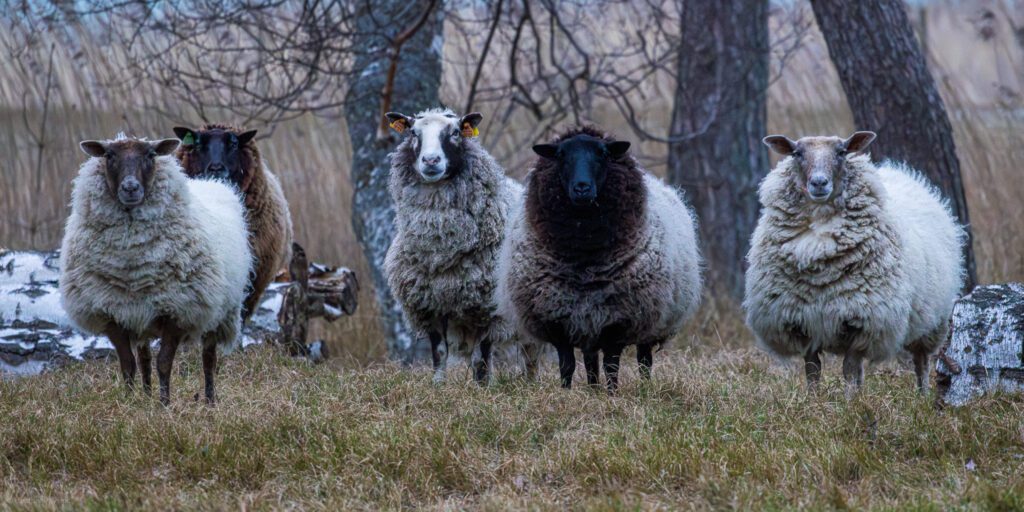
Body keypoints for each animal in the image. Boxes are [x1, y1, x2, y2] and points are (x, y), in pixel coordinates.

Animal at [59, 134, 252, 405]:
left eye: (150, 155)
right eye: (109, 155)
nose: (130, 188)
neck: (132, 265)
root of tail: (213, 184)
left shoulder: (177, 311)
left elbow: (164, 364)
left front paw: (164, 404)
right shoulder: (112, 314)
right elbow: (128, 365)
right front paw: (129, 402)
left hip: (220, 313)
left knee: (208, 359)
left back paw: (210, 400)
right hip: (140, 315)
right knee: (144, 359)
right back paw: (146, 394)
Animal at [383, 107, 538, 384]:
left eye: (455, 133)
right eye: (413, 133)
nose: (431, 161)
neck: (441, 253)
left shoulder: (490, 309)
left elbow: (480, 359)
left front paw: (482, 387)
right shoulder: (430, 305)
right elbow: (439, 353)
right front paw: (438, 386)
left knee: (532, 354)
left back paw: (533, 384)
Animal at [497, 126, 703, 392]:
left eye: (603, 154)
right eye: (561, 155)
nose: (582, 188)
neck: (585, 259)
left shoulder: (619, 318)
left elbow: (612, 365)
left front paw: (612, 394)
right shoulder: (557, 318)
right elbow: (568, 364)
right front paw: (566, 392)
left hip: (648, 318)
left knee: (644, 359)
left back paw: (643, 387)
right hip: (587, 321)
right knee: (590, 359)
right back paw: (593, 388)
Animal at [745, 131, 965, 395]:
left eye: (841, 152)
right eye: (797, 153)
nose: (819, 183)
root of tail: (900, 172)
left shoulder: (862, 322)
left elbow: (849, 370)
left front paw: (850, 402)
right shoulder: (804, 321)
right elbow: (813, 370)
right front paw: (814, 400)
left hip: (931, 322)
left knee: (921, 361)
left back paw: (923, 395)